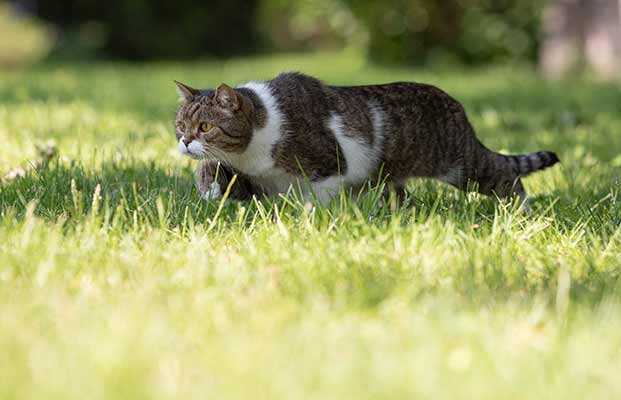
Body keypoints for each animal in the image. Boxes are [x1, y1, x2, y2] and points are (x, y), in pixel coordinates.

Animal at [173, 72, 556, 205]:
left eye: (204, 127)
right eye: (180, 126)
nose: (186, 142)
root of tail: (457, 106)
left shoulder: (329, 165)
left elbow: (317, 198)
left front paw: (311, 220)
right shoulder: (253, 176)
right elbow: (213, 171)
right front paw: (208, 189)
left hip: (461, 165)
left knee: (505, 173)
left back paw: (520, 211)